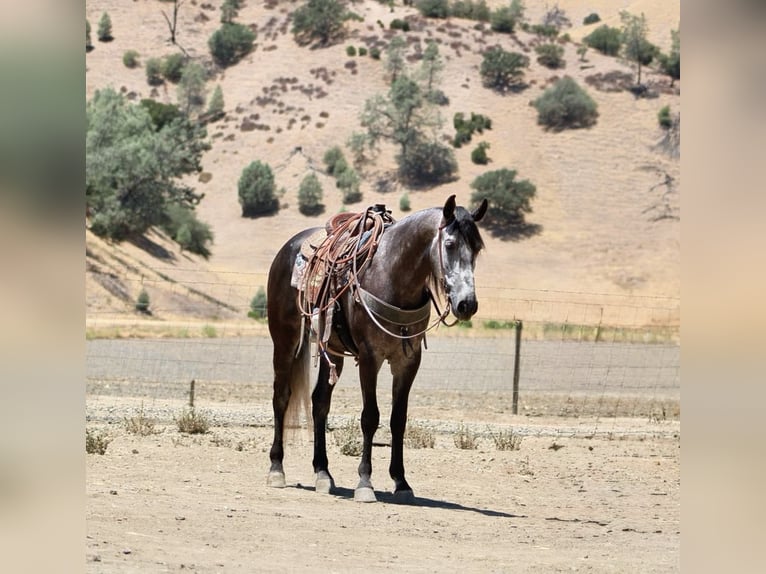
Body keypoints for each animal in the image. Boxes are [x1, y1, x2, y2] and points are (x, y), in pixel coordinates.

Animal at [266, 195, 488, 503]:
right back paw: (277, 469)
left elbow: (398, 419)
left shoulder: (408, 361)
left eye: (477, 248)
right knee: (281, 397)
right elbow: (370, 417)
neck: (391, 274)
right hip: (284, 341)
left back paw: (323, 473)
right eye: (450, 244)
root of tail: (287, 249)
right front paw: (365, 482)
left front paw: (402, 482)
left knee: (320, 402)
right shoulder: (370, 357)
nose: (467, 304)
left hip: (331, 349)